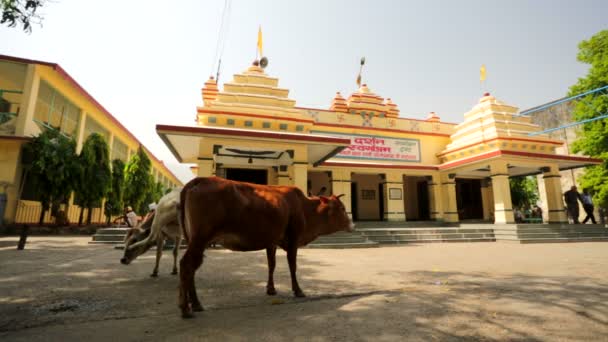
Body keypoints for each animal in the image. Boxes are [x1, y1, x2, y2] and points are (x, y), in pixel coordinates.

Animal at [178, 176, 354, 318]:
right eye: (342, 208)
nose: (352, 225)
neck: (305, 208)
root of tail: (200, 179)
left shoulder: (272, 241)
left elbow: (272, 264)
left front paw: (271, 289)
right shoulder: (293, 238)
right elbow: (292, 265)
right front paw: (298, 290)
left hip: (195, 240)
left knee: (192, 267)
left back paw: (195, 304)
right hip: (200, 238)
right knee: (186, 265)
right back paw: (186, 309)